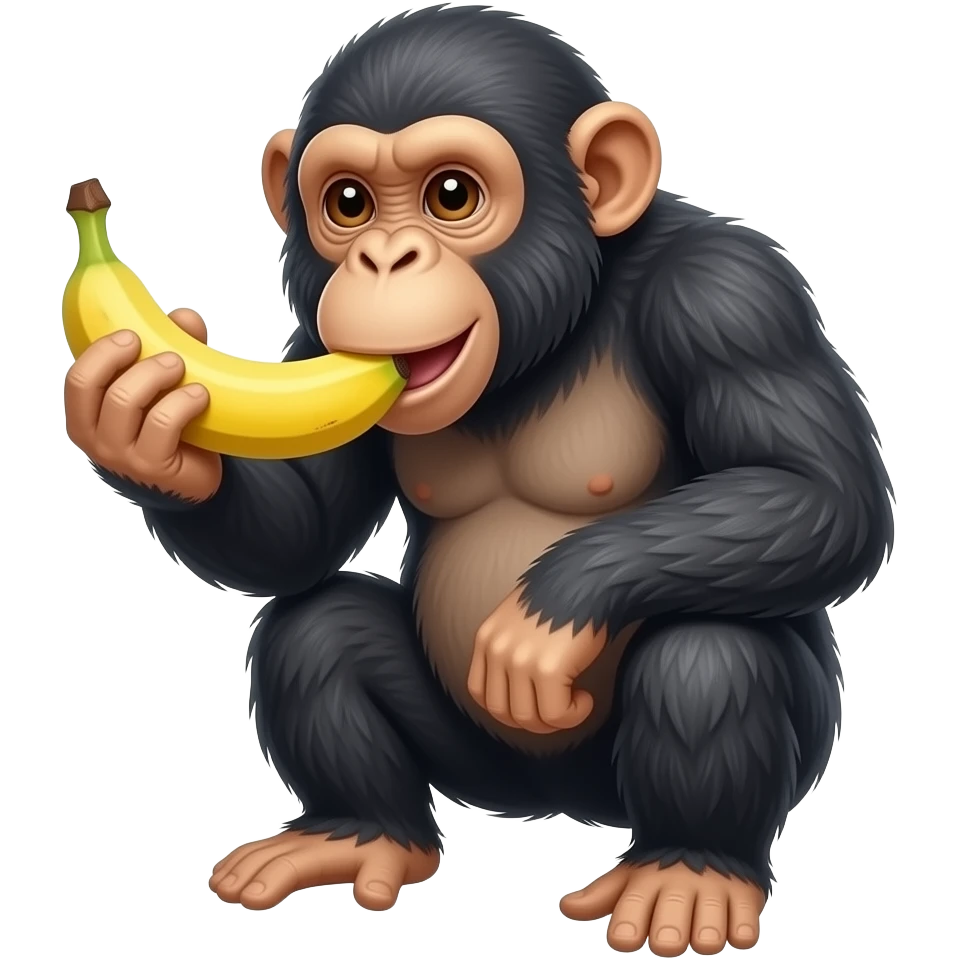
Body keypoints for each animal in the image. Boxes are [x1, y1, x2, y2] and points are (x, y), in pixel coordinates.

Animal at [63, 6, 893, 955]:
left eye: (451, 196)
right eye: (347, 203)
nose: (385, 258)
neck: (558, 324)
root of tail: (553, 807)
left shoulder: (732, 295)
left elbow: (821, 492)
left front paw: (547, 615)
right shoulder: (321, 345)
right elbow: (298, 539)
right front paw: (142, 424)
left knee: (710, 649)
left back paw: (688, 869)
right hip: (472, 765)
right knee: (316, 628)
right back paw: (359, 833)